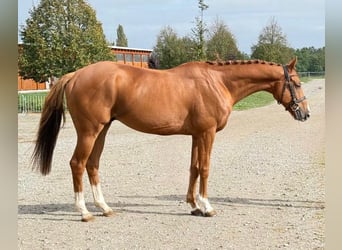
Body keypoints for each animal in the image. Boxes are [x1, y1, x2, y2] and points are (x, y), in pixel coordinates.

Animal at [31, 58, 310, 221]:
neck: (217, 81)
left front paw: (194, 205)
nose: (305, 114)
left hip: (102, 130)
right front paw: (207, 206)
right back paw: (84, 212)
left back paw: (104, 207)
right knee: (77, 164)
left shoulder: (197, 134)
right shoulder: (207, 133)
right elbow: (205, 168)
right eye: (296, 84)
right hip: (89, 131)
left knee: (92, 164)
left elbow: (193, 168)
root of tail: (75, 75)